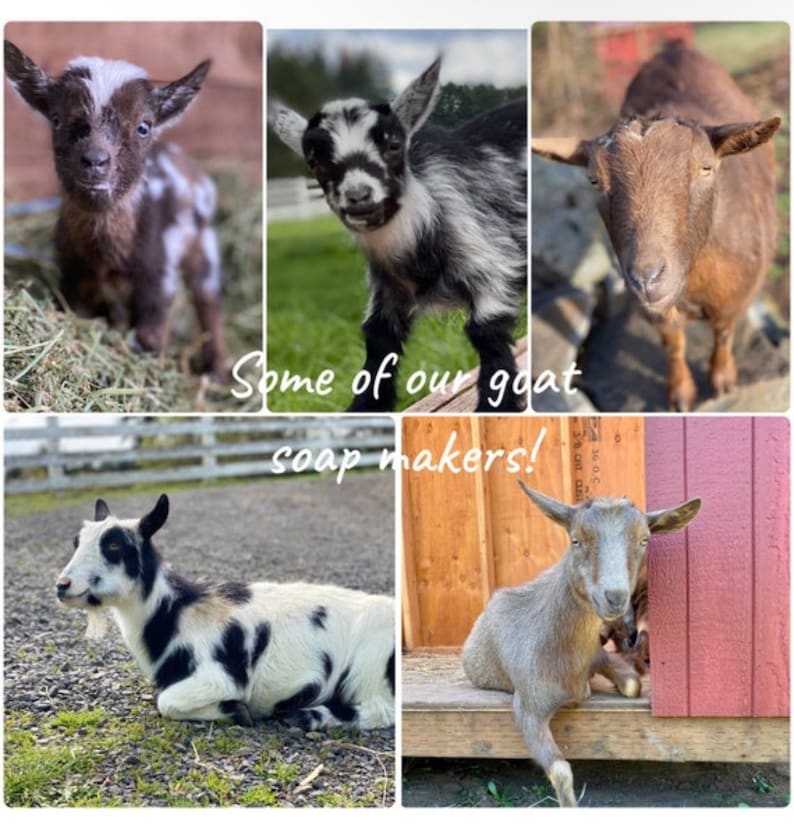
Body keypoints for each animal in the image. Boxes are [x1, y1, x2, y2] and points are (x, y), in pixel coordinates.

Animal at [4, 41, 227, 377]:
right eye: (56, 119)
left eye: (144, 127)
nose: (95, 161)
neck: (104, 252)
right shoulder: (73, 271)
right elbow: (77, 311)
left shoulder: (157, 272)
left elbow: (151, 331)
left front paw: (152, 368)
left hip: (203, 245)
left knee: (208, 300)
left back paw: (216, 372)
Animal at [55, 495, 395, 729]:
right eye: (76, 542)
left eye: (114, 547)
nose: (62, 585)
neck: (174, 614)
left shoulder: (219, 677)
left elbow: (166, 702)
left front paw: (236, 711)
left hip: (370, 665)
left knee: (381, 710)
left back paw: (309, 717)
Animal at [272, 57, 527, 412]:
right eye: (314, 161)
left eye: (394, 145)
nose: (359, 196)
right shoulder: (387, 293)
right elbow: (378, 340)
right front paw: (363, 409)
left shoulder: (490, 262)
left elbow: (487, 332)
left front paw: (496, 408)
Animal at [462, 482, 700, 806]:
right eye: (575, 539)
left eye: (644, 539)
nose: (614, 597)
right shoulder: (528, 706)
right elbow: (561, 771)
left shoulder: (597, 656)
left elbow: (632, 685)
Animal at [532, 42, 780, 411]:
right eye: (594, 180)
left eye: (706, 168)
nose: (646, 279)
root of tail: (677, 48)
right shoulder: (651, 306)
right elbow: (673, 343)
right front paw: (680, 394)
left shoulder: (738, 294)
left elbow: (723, 333)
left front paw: (722, 381)